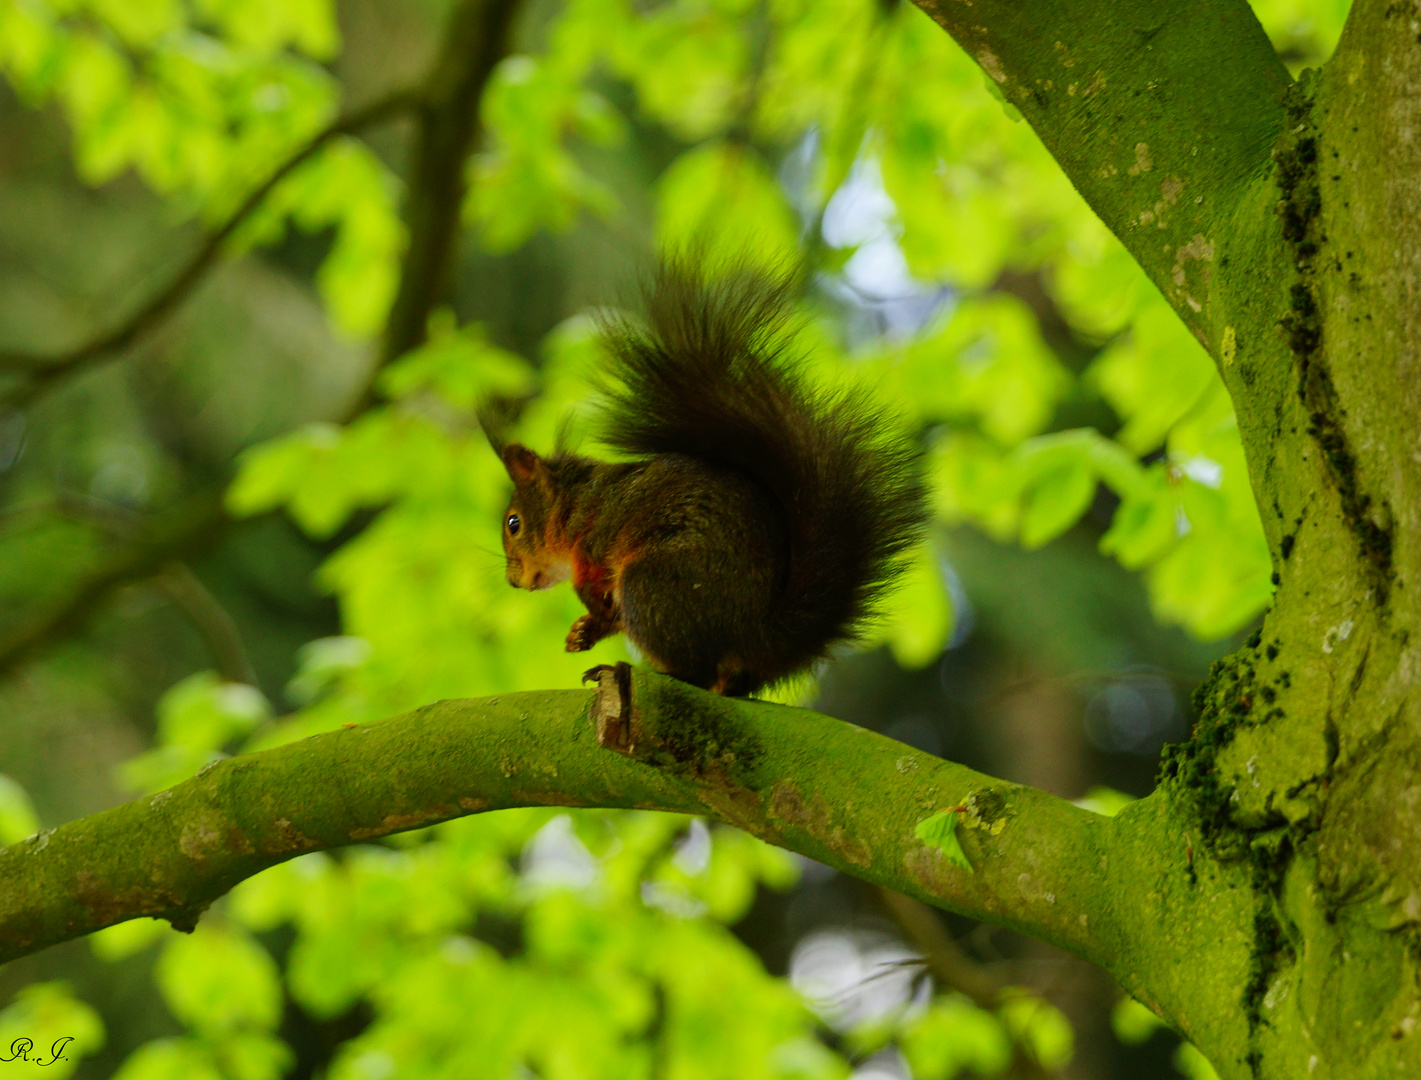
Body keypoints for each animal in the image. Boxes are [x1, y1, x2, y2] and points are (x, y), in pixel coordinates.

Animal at [494, 265, 926, 696]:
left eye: (514, 524)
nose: (513, 581)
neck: (574, 503)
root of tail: (757, 633)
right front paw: (584, 632)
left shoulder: (597, 537)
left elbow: (594, 586)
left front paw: (590, 616)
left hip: (651, 584)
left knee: (694, 673)